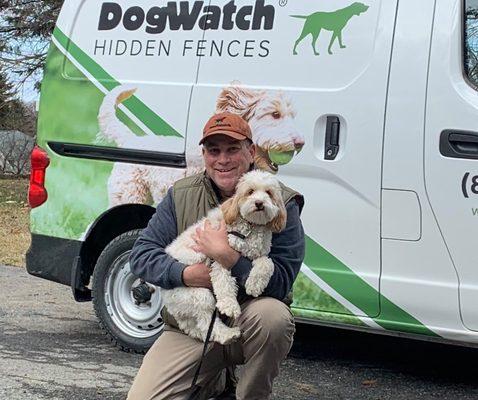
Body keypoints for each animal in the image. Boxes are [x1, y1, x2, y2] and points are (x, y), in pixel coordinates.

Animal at [162, 170, 286, 346]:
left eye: (269, 193)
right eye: (250, 191)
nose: (259, 203)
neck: (251, 227)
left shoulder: (259, 254)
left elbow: (268, 264)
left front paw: (254, 285)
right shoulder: (220, 256)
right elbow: (224, 284)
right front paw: (229, 306)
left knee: (199, 326)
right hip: (197, 295)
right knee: (207, 321)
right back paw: (228, 334)